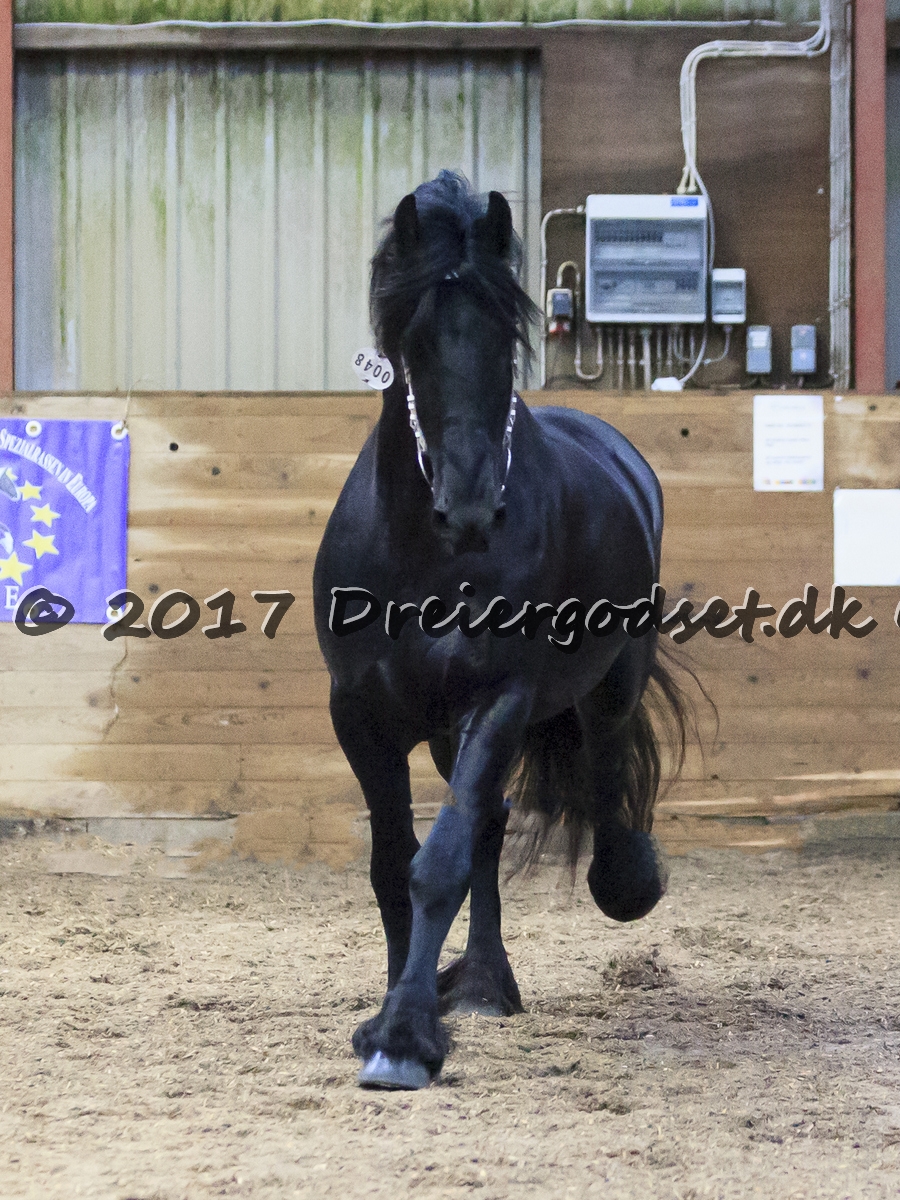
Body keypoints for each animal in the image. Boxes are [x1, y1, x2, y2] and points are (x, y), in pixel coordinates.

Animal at [312, 170, 689, 1091]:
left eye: (504, 340)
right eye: (413, 343)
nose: (473, 509)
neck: (423, 557)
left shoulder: (502, 699)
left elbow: (437, 864)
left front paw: (406, 1037)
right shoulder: (360, 716)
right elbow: (393, 865)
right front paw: (393, 1015)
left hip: (602, 684)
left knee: (599, 773)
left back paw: (616, 885)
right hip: (448, 730)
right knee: (487, 823)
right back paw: (482, 983)